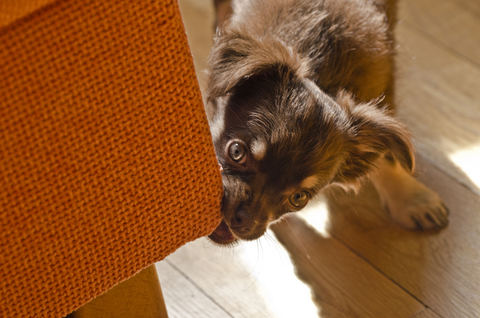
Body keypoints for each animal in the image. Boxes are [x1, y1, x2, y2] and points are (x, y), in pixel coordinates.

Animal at [206, 0, 450, 246]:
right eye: (237, 151)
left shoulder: (383, 87)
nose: (244, 222)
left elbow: (386, 156)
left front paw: (411, 199)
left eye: (299, 198)